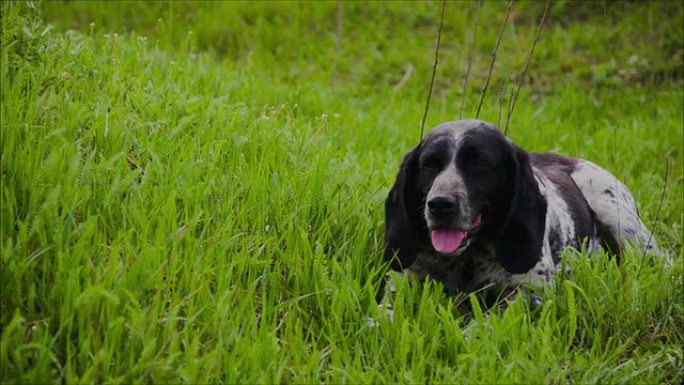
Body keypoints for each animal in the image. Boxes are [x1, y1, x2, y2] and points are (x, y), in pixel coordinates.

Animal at [382, 118, 660, 308]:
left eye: (480, 163)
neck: (468, 257)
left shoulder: (532, 292)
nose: (440, 204)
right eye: (429, 164)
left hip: (620, 220)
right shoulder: (401, 281)